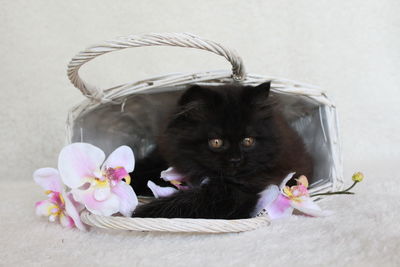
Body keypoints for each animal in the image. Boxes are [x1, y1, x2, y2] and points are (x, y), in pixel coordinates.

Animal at [131, 82, 312, 220]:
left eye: (248, 141)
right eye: (216, 142)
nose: (236, 160)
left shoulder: (232, 195)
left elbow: (188, 202)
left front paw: (141, 213)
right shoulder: (164, 158)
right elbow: (142, 171)